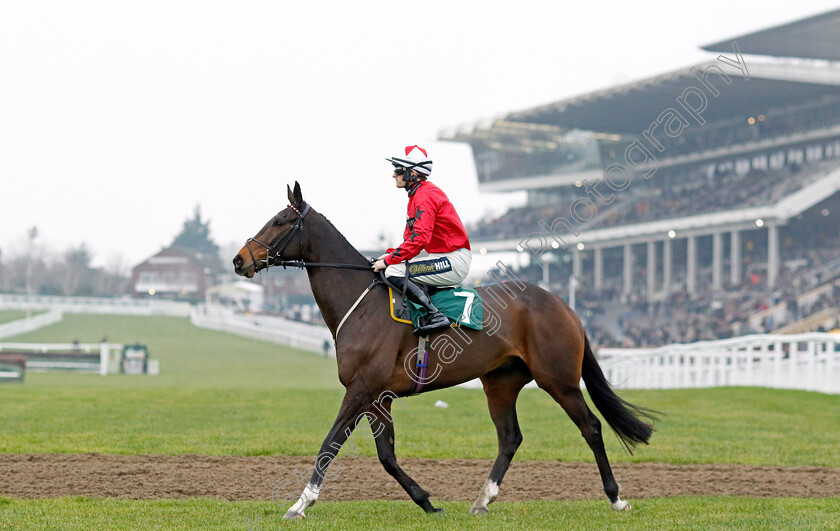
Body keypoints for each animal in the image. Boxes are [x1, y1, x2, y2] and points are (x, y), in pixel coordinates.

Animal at [235, 183, 656, 520]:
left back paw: (616, 498)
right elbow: (386, 456)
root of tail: (564, 306)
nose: (240, 259)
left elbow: (330, 444)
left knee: (591, 427)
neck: (361, 303)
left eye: (279, 221)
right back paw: (482, 501)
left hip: (559, 379)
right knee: (510, 438)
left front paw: (299, 504)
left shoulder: (361, 390)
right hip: (500, 383)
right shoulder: (377, 398)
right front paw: (426, 501)